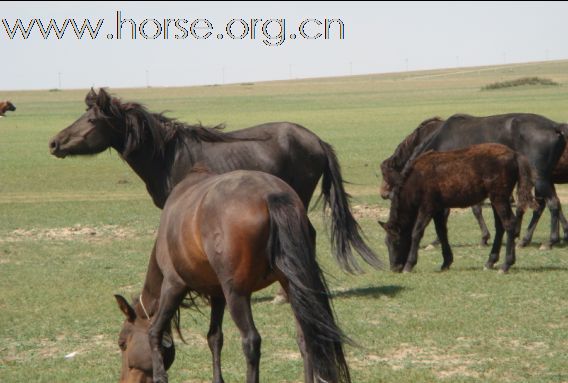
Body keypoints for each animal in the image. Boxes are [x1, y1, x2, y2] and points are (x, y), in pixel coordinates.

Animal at [113, 169, 352, 383]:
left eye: (122, 343)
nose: (123, 381)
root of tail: (271, 194)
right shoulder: (217, 293)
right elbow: (214, 337)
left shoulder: (174, 285)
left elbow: (154, 332)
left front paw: (160, 376)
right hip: (292, 288)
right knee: (306, 337)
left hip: (236, 294)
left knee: (251, 341)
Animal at [380, 143, 536, 272]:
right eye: (386, 243)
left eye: (396, 241)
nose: (394, 267)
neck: (417, 178)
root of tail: (515, 155)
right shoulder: (438, 208)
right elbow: (442, 232)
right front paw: (446, 262)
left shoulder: (427, 207)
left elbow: (416, 232)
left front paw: (409, 264)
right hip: (496, 199)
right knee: (500, 226)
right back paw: (490, 261)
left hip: (499, 198)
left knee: (509, 224)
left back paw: (506, 265)